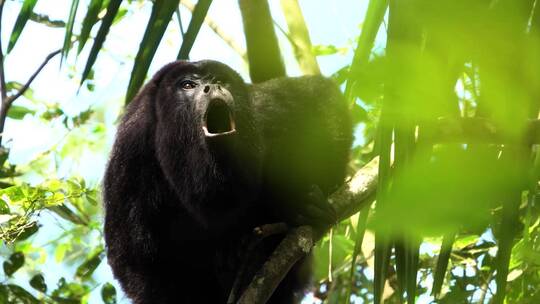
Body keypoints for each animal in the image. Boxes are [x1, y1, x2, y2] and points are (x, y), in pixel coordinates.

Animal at [103, 60, 352, 304]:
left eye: (220, 81)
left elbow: (320, 97)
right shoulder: (132, 151)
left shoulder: (261, 109)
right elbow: (136, 258)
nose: (212, 87)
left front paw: (296, 205)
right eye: (188, 85)